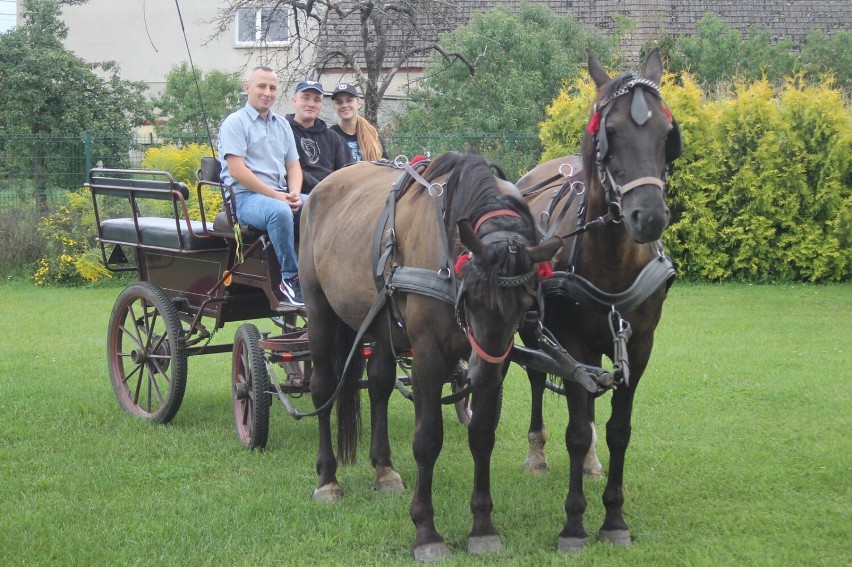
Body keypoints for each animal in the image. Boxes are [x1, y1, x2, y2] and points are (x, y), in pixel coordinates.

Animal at [300, 152, 564, 564]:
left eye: (525, 303)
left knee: (379, 384)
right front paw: (426, 531)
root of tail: (319, 191)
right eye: (472, 297)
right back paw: (327, 479)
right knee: (324, 387)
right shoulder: (427, 356)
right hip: (319, 311)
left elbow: (482, 435)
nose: (480, 374)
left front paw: (483, 527)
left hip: (380, 323)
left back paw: (384, 470)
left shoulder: (498, 360)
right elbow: (427, 440)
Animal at [512, 50, 684, 556]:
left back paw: (590, 462)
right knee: (537, 377)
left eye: (667, 135)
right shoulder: (571, 343)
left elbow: (616, 431)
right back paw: (536, 452)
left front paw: (614, 518)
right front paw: (574, 524)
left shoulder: (639, 346)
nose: (649, 216)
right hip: (535, 329)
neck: (611, 260)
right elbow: (573, 430)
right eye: (611, 134)